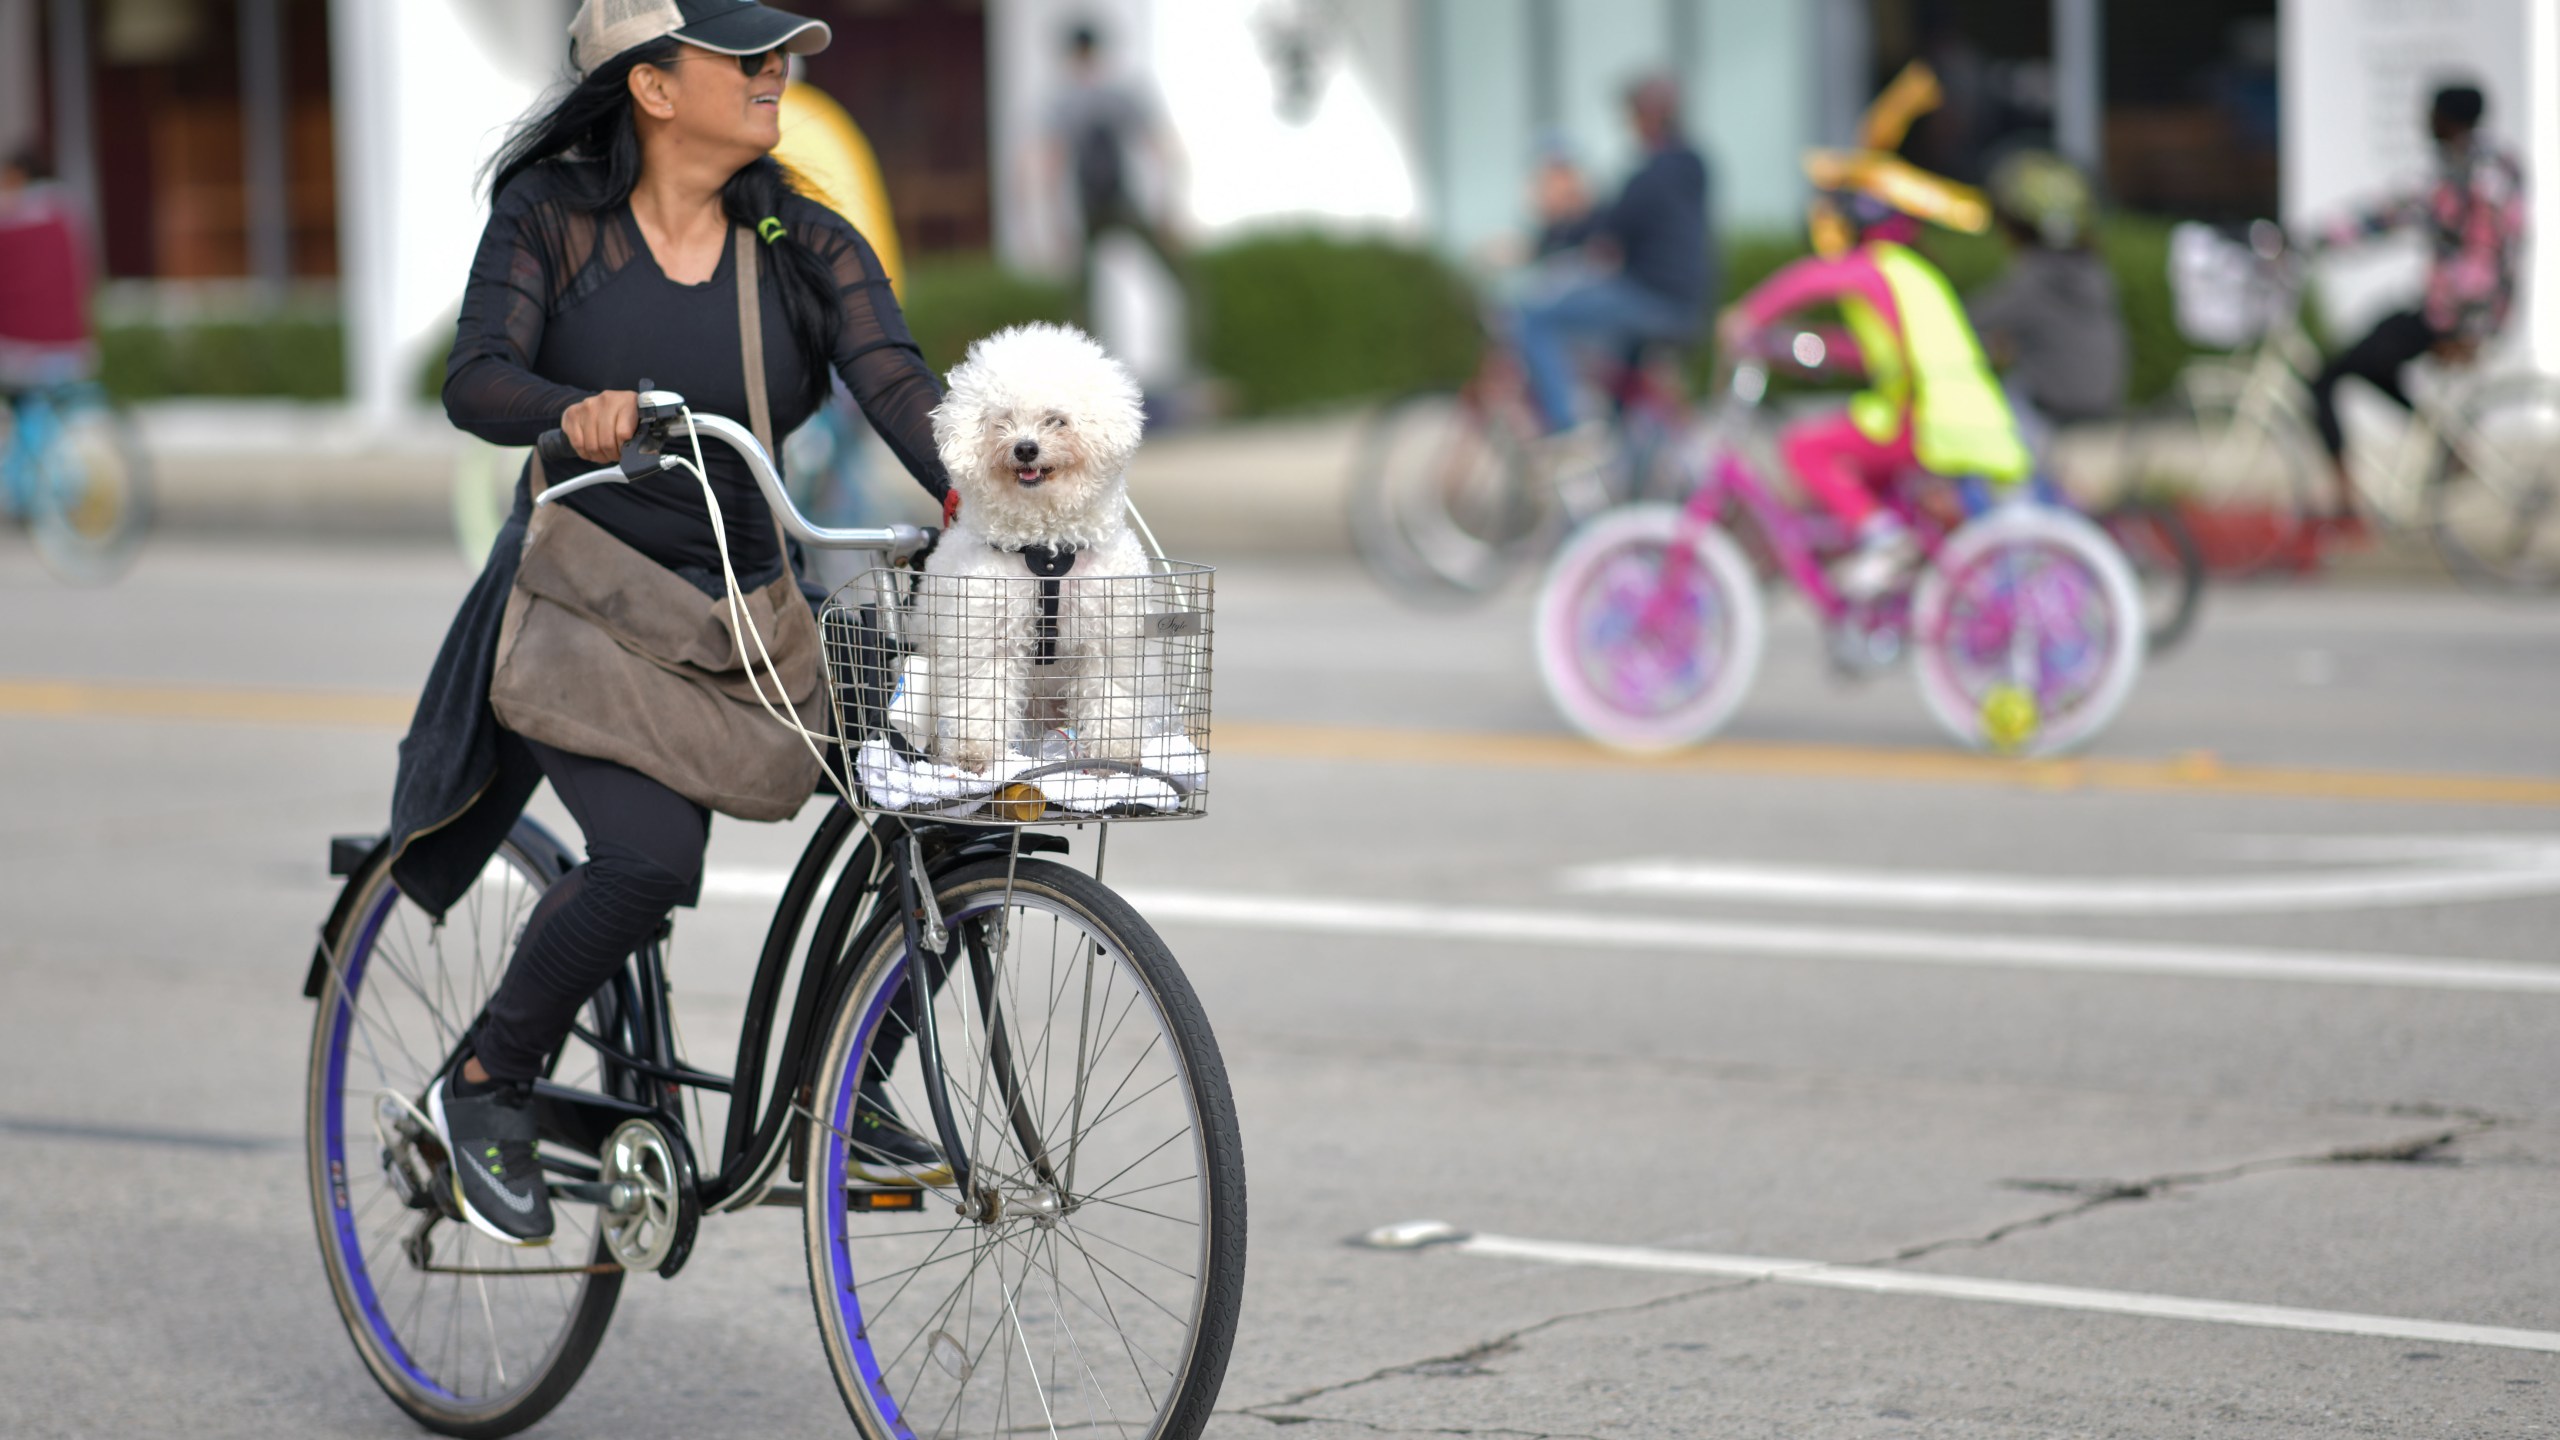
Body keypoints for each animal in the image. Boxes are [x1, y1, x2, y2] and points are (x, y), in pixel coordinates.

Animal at [921, 324, 1152, 773]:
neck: (1046, 553)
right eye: (1003, 420)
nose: (1025, 448)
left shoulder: (1107, 641)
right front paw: (976, 752)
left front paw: (1112, 753)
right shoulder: (987, 638)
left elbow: (1109, 696)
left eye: (1055, 420)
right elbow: (982, 698)